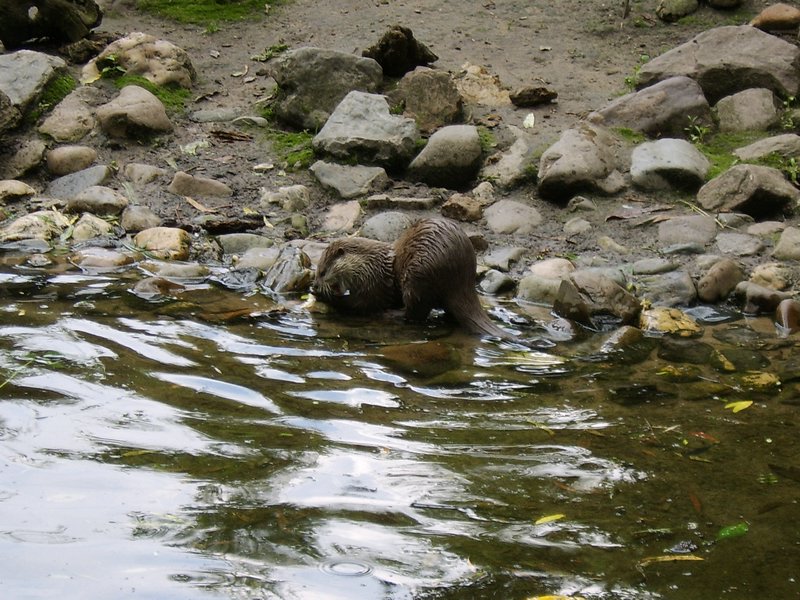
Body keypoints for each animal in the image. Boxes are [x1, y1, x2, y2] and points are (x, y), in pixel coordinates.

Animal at [313, 218, 510, 338]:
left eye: (322, 272)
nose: (314, 285)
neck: (368, 265)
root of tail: (462, 281)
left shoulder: (373, 286)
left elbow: (359, 304)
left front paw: (322, 295)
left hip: (418, 275)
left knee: (415, 312)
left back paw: (390, 314)